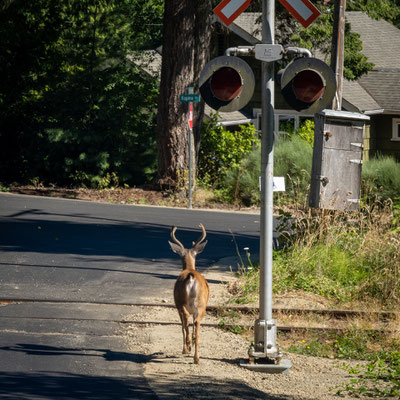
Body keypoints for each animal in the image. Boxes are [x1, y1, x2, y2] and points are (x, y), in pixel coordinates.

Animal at [169, 223, 211, 364]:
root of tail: (191, 276)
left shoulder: (177, 305)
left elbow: (182, 325)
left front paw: (185, 348)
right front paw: (190, 345)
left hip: (181, 302)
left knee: (185, 320)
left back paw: (187, 346)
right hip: (201, 305)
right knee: (197, 324)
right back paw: (196, 357)